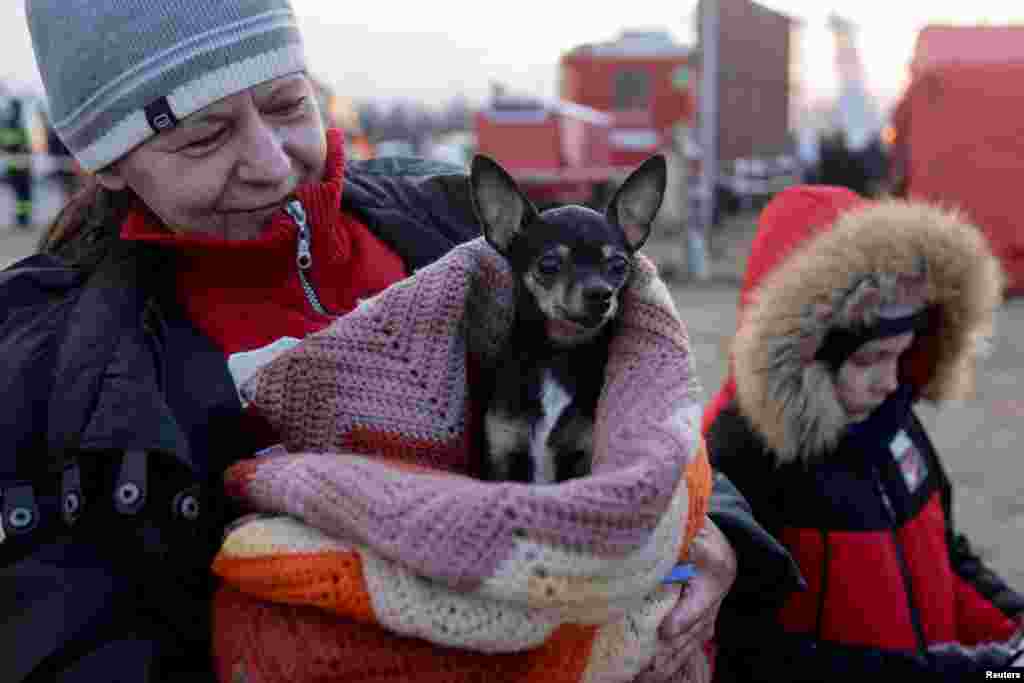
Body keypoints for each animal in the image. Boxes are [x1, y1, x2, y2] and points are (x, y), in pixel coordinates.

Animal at [468, 154, 667, 485]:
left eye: (618, 265)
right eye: (548, 265)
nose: (601, 294)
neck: (558, 354)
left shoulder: (584, 461)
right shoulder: (502, 459)